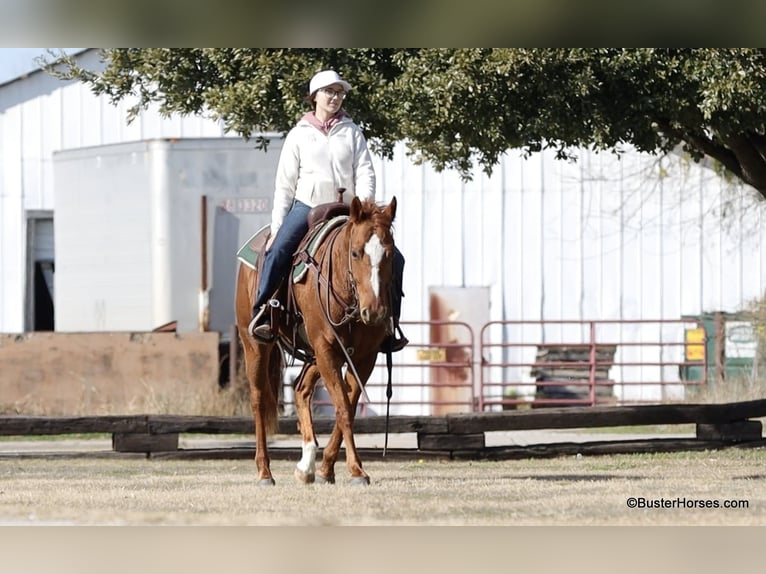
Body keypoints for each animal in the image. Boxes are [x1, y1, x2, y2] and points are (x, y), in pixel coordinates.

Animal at [235, 195, 398, 485]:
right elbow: (342, 407)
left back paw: (307, 464)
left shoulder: (364, 356)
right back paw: (265, 471)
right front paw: (356, 470)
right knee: (259, 400)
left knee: (301, 389)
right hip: (254, 344)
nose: (376, 311)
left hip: (313, 355)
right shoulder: (326, 349)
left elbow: (349, 406)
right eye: (355, 253)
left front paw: (326, 469)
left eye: (389, 253)